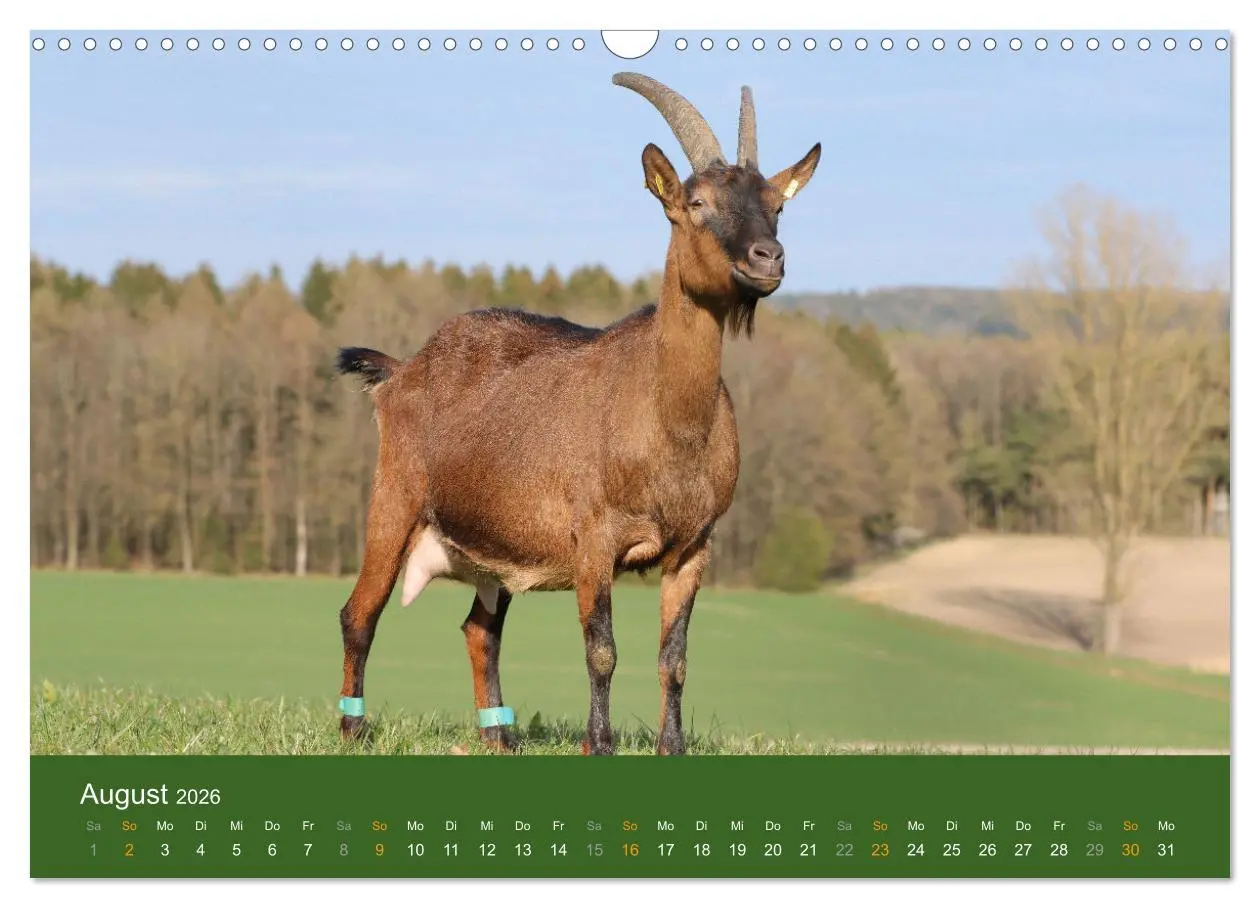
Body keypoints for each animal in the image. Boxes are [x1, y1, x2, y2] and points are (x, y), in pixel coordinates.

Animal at [334, 72, 821, 755]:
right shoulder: (594, 539)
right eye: (696, 203)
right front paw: (600, 744)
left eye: (777, 204)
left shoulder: (694, 547)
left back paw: (500, 736)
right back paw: (353, 726)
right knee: (360, 611)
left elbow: (675, 658)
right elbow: (602, 651)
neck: (666, 418)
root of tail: (402, 369)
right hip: (394, 498)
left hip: (493, 548)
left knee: (480, 629)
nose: (767, 258)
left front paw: (672, 747)